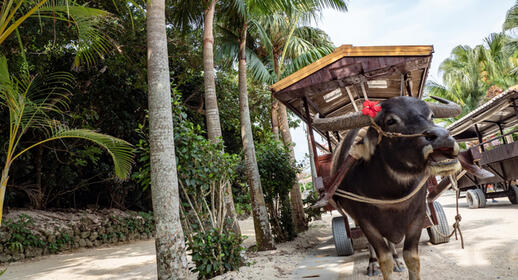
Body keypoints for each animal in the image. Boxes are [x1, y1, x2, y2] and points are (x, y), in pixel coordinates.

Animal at [312, 96, 464, 280]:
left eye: (431, 115)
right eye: (391, 121)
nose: (443, 136)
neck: (392, 193)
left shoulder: (418, 215)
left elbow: (412, 258)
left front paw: (400, 260)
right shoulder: (366, 222)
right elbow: (384, 259)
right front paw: (378, 263)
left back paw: (397, 259)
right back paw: (372, 264)